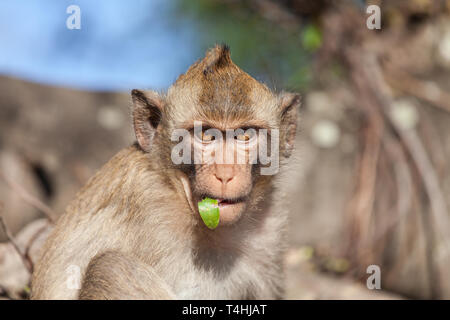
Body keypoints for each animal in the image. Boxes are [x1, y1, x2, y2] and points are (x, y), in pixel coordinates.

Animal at [30, 45, 298, 300]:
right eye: (206, 135)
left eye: (245, 135)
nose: (225, 174)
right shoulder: (152, 210)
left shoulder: (269, 226)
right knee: (111, 267)